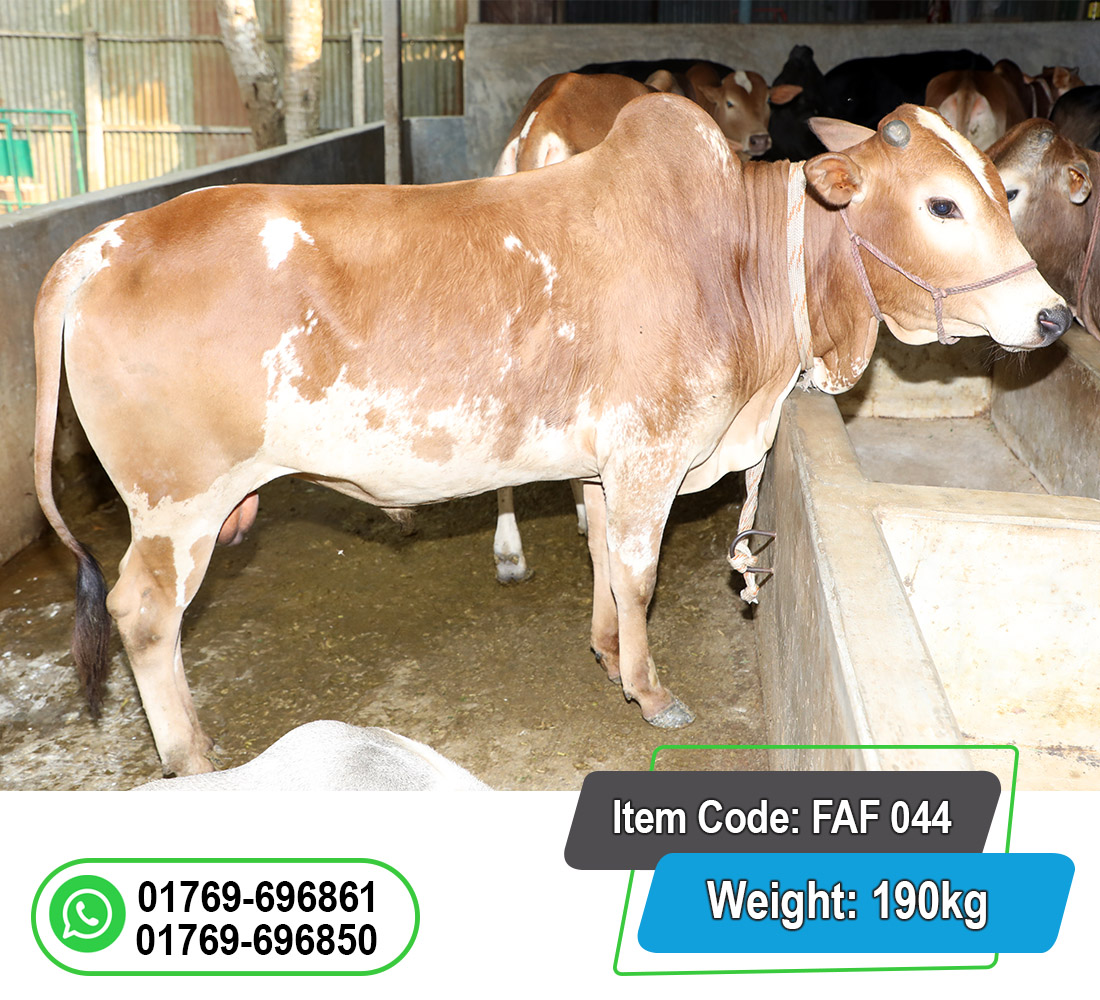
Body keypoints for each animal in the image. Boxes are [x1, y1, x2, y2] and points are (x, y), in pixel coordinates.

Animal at [35, 97, 1070, 776]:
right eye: (942, 204)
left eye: (998, 189)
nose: (1054, 316)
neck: (738, 260)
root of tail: (105, 244)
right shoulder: (651, 453)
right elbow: (641, 572)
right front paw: (651, 692)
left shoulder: (610, 465)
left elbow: (608, 562)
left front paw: (610, 653)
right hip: (178, 506)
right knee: (143, 616)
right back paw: (192, 755)